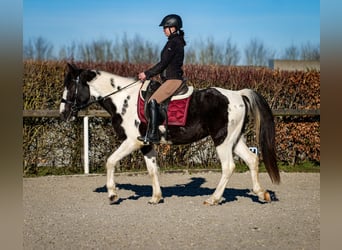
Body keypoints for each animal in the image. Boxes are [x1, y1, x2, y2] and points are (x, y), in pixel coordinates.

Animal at [60, 63, 280, 206]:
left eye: (70, 86)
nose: (63, 114)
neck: (123, 99)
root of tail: (238, 94)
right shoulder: (146, 144)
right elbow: (152, 170)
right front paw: (156, 197)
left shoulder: (132, 142)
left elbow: (110, 161)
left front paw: (113, 194)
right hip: (234, 139)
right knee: (252, 159)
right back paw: (261, 194)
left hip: (222, 140)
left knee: (228, 167)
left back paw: (213, 199)